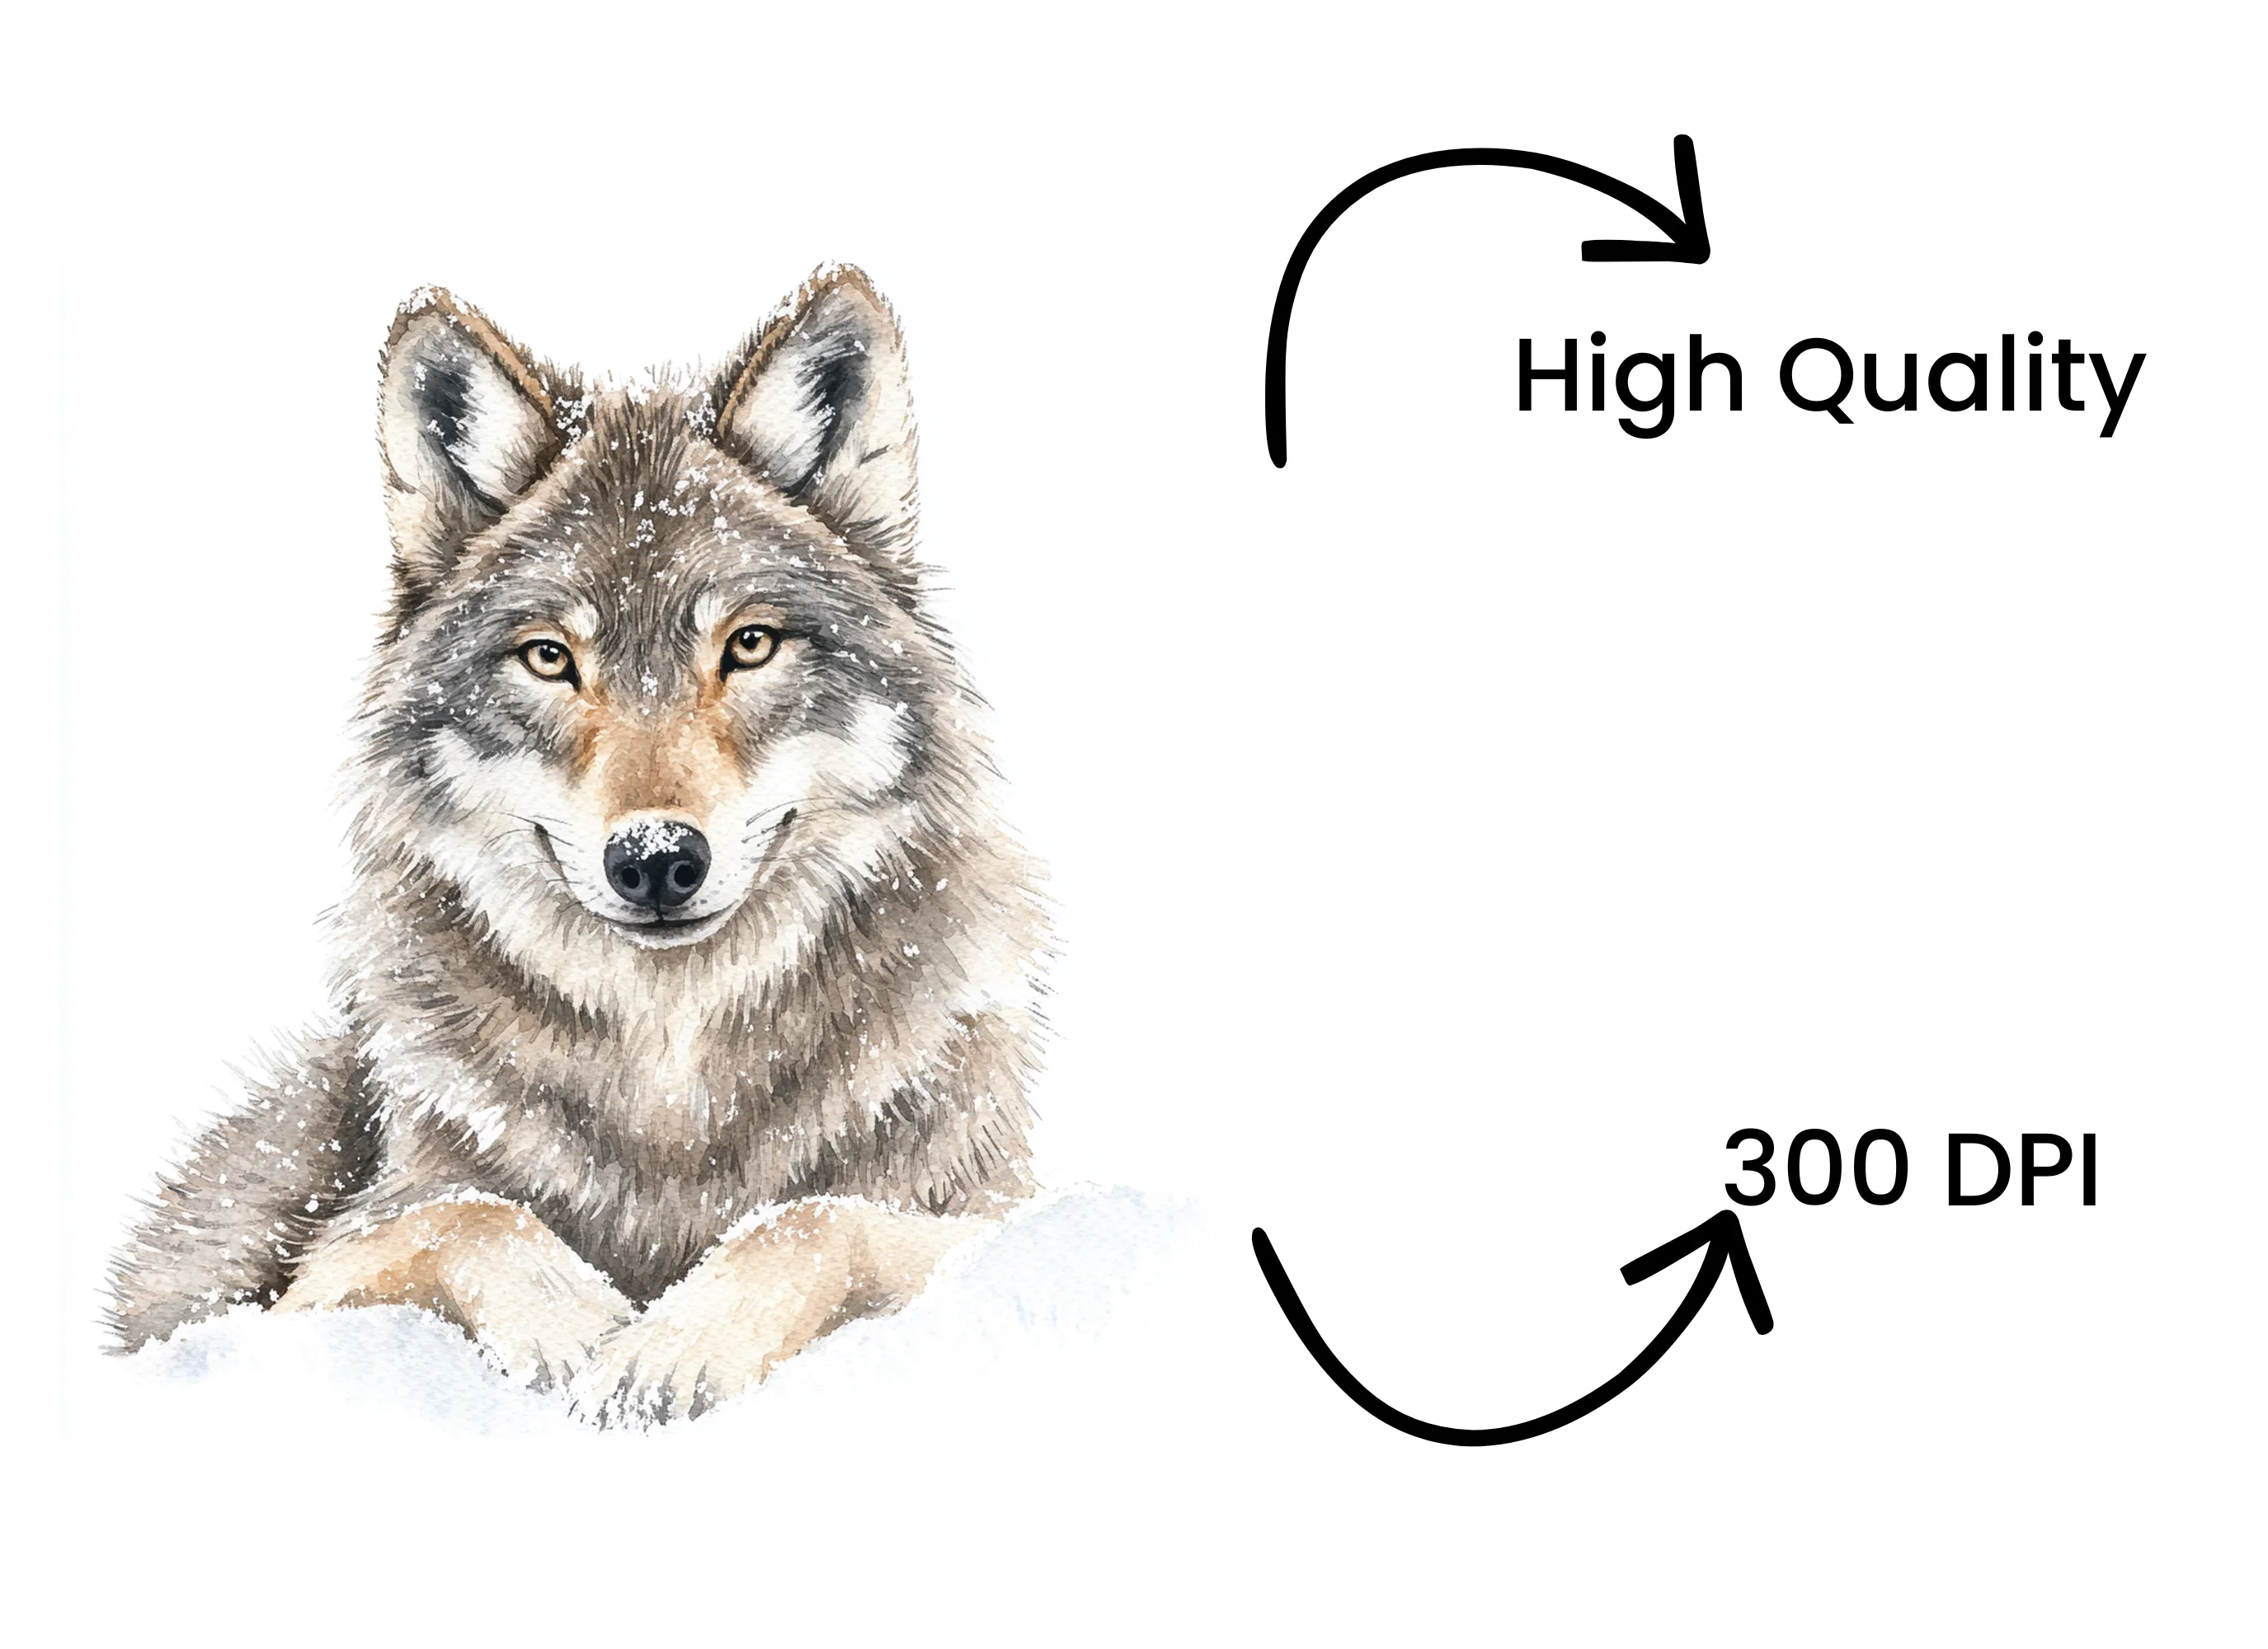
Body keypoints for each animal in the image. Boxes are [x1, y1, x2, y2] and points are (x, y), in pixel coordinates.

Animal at [106, 267, 1050, 1424]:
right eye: (550, 657)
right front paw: (583, 1328)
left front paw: (672, 1349)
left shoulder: (994, 1215)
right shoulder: (303, 1282)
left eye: (748, 644)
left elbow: (808, 1217)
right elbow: (465, 1213)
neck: (673, 1083)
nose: (654, 857)